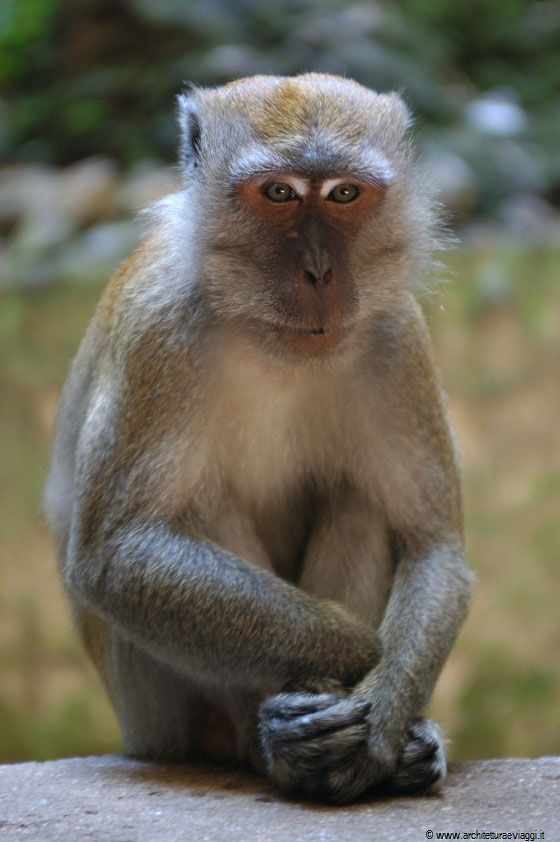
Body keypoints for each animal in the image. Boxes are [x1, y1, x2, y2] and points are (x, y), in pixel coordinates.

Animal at [44, 73, 473, 805]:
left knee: (362, 502)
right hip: (154, 714)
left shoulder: (396, 335)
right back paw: (275, 743)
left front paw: (389, 713)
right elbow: (116, 557)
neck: (265, 334)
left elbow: (432, 544)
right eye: (278, 193)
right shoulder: (162, 329)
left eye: (344, 194)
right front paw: (359, 659)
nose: (320, 272)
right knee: (193, 507)